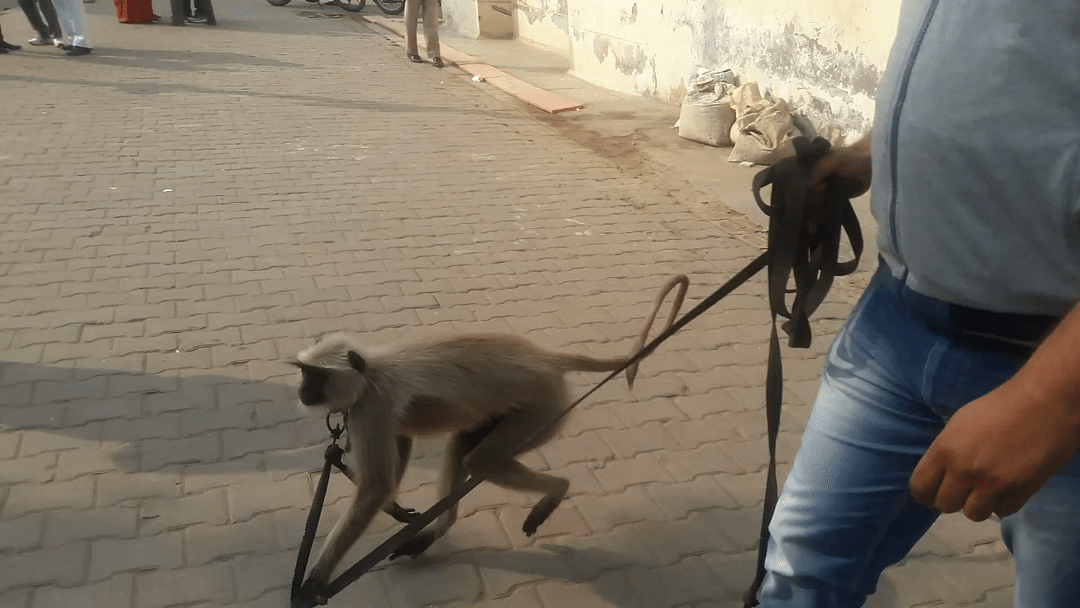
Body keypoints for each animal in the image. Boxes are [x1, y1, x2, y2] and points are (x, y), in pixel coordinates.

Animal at [291, 274, 686, 600]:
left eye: (315, 376)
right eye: (304, 373)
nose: (301, 390)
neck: (371, 371)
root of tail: (545, 359)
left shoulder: (370, 408)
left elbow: (374, 488)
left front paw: (312, 584)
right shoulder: (374, 414)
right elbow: (397, 452)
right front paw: (396, 507)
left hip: (544, 408)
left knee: (479, 459)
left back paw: (555, 490)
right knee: (464, 445)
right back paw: (438, 530)